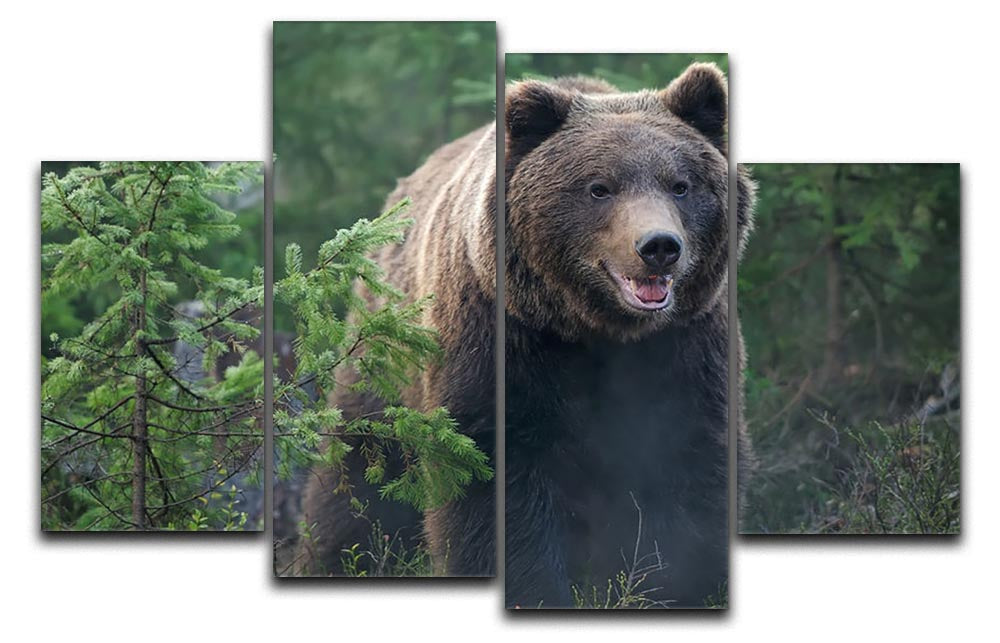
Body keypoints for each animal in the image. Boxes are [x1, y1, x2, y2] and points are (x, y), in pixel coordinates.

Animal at [503, 63, 755, 607]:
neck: (603, 330)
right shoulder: (514, 344)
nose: (659, 246)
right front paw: (535, 587)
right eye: (600, 187)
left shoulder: (691, 348)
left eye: (681, 185)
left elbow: (692, 473)